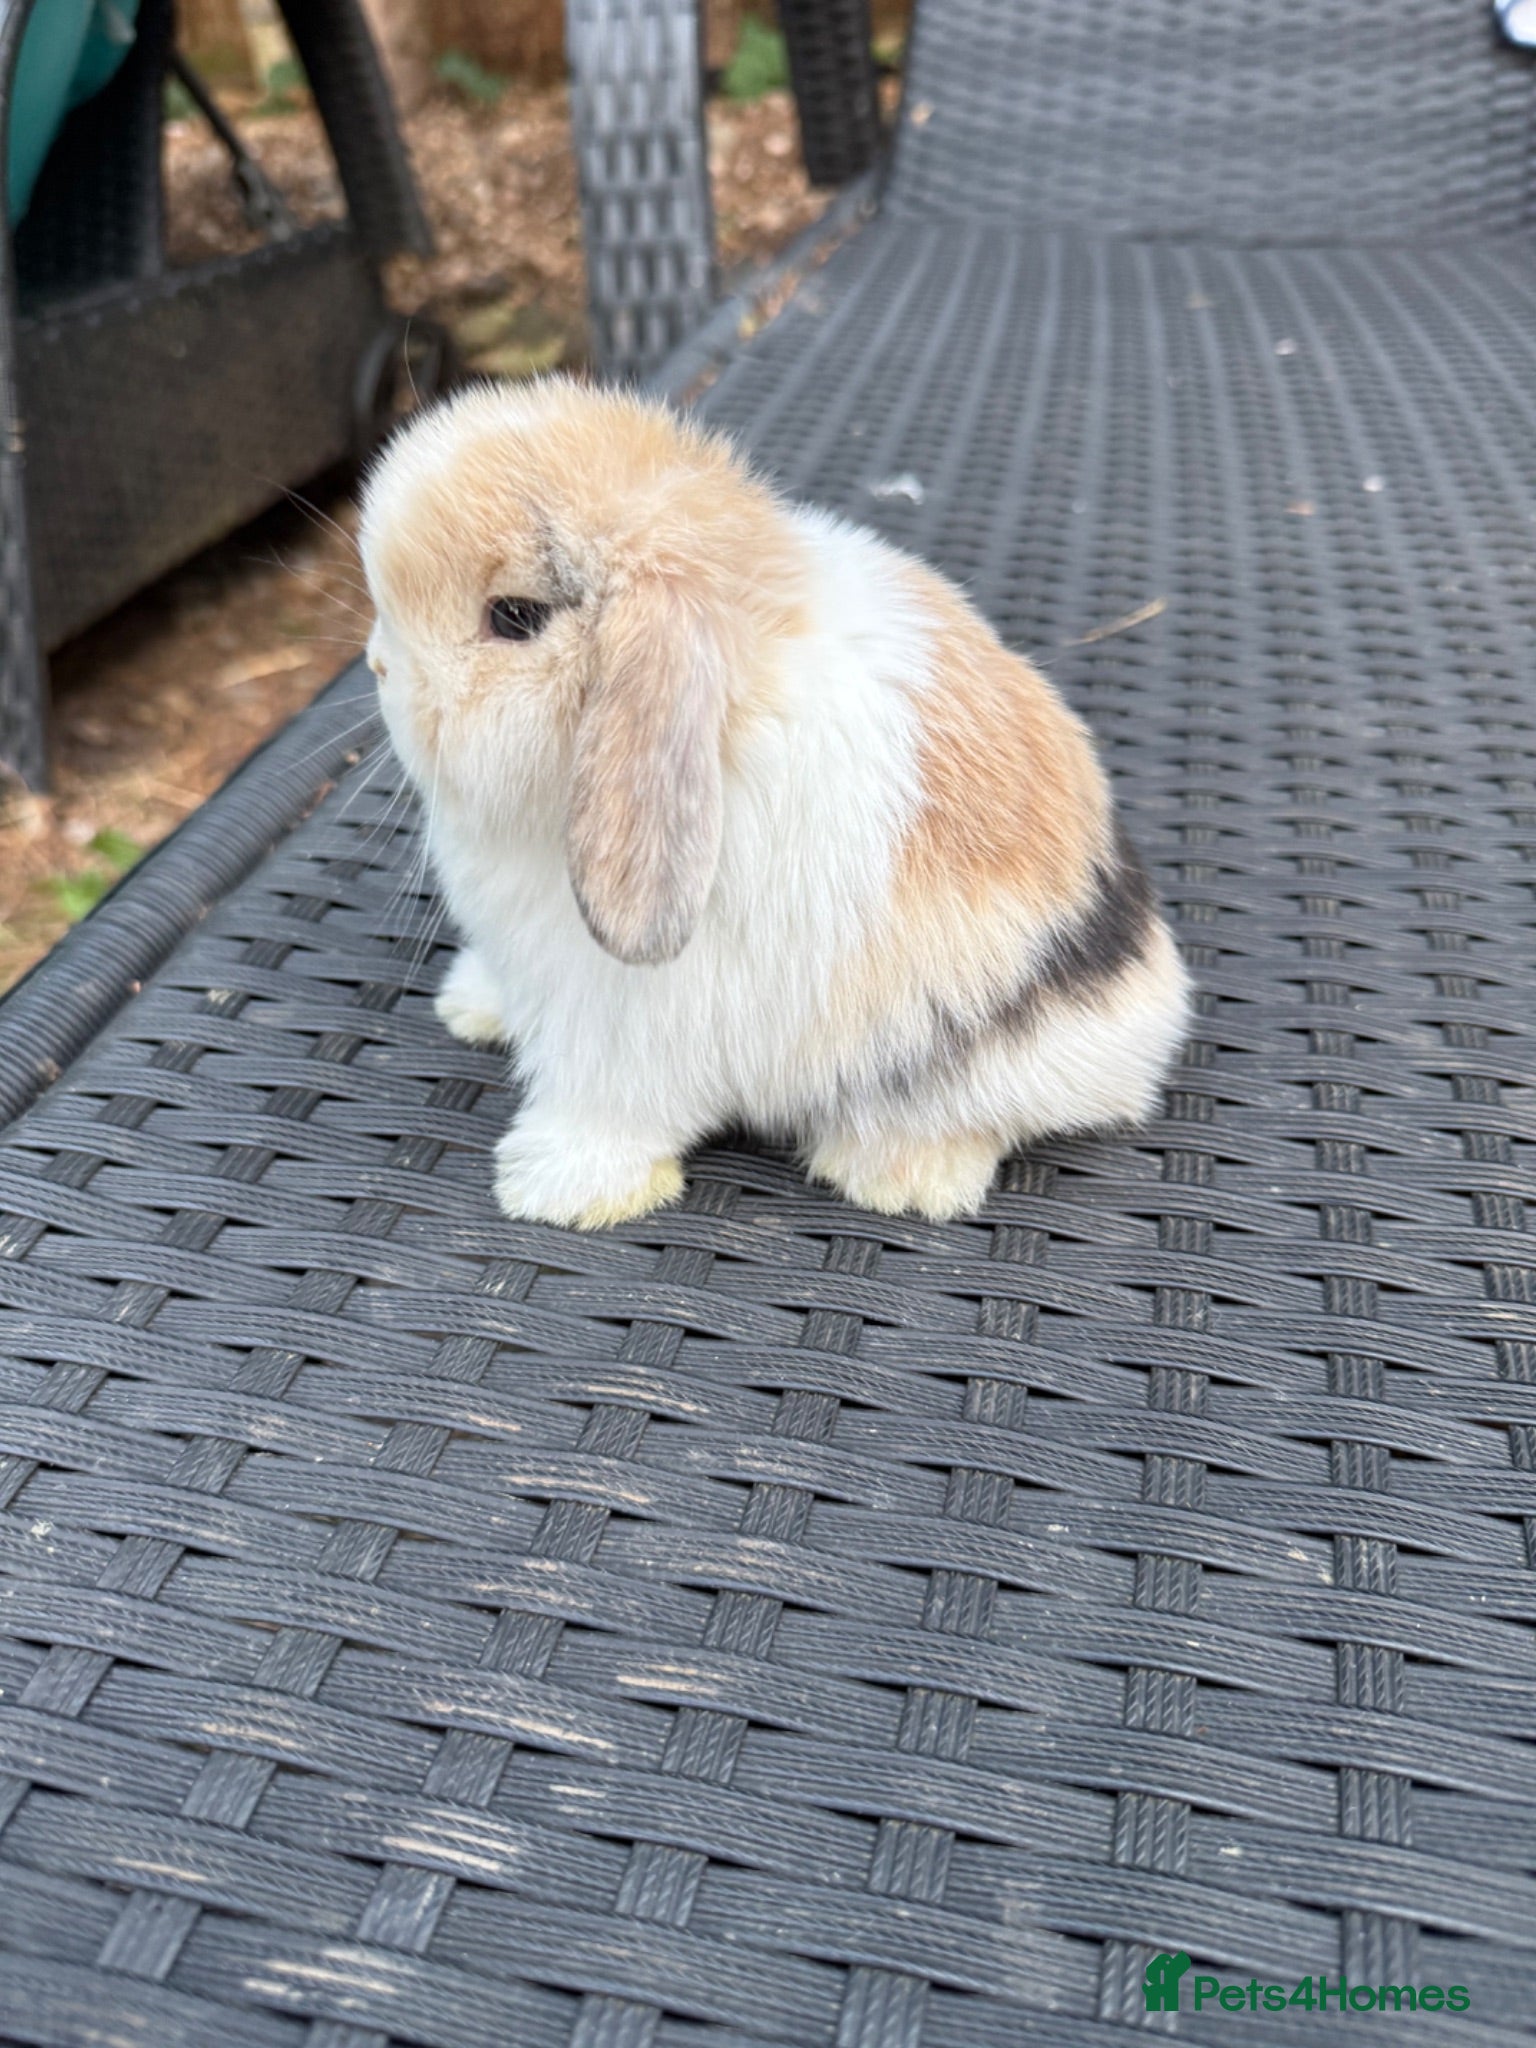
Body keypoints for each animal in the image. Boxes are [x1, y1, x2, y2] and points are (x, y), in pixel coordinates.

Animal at [359, 377, 1189, 1230]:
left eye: (514, 617)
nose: (380, 668)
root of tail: (1152, 994)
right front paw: (471, 1005)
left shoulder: (627, 1025)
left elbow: (608, 1107)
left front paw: (557, 1188)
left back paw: (897, 1177)